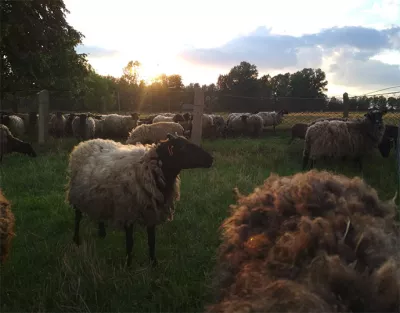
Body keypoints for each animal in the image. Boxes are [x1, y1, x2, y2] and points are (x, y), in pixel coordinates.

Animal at [67, 132, 214, 266]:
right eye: (182, 147)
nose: (211, 159)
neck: (148, 168)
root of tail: (85, 143)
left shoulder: (152, 211)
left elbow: (152, 240)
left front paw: (153, 263)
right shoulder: (128, 211)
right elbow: (130, 242)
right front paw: (128, 264)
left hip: (99, 196)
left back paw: (102, 234)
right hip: (76, 194)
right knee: (77, 217)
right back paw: (76, 239)